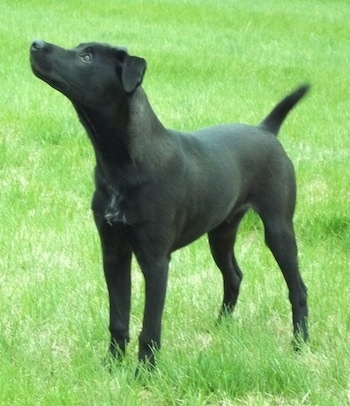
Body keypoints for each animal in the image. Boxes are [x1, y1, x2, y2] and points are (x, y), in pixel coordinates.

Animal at [30, 40, 308, 368]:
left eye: (86, 57)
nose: (36, 44)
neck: (125, 163)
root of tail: (266, 130)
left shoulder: (155, 260)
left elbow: (150, 326)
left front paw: (144, 371)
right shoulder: (114, 253)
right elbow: (118, 318)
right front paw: (112, 365)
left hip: (278, 230)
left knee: (297, 288)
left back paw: (300, 344)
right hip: (221, 232)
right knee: (234, 276)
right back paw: (221, 327)